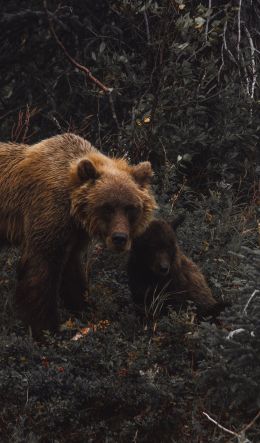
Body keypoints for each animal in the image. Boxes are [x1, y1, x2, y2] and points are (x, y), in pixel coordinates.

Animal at [0, 134, 156, 334]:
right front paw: (45, 328)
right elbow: (40, 269)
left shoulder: (74, 233)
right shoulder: (47, 213)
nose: (120, 238)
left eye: (131, 208)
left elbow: (72, 271)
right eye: (107, 207)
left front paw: (88, 310)